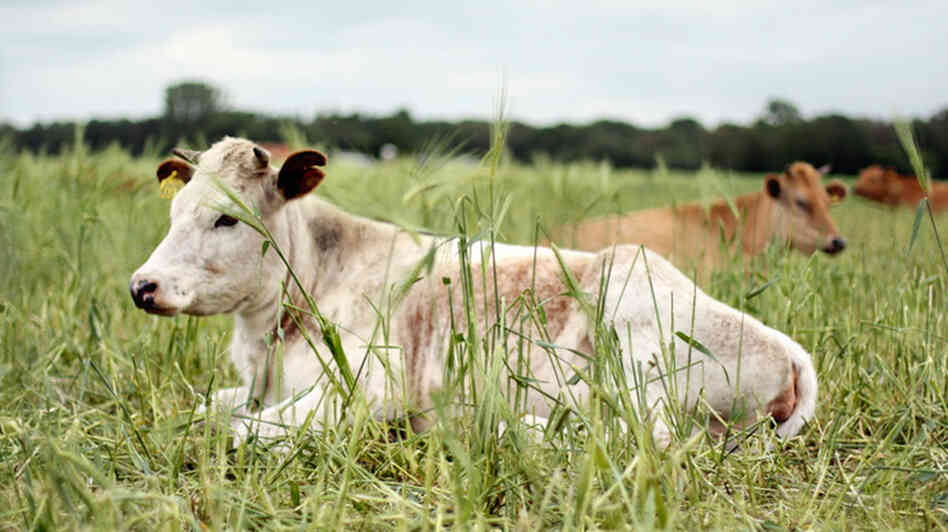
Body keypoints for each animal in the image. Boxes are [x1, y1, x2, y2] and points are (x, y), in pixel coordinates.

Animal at [129, 137, 818, 448]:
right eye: (176, 211)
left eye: (228, 219)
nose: (142, 286)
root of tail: (787, 350)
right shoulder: (257, 387)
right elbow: (205, 409)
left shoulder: (369, 390)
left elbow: (244, 430)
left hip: (635, 355)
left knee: (636, 435)